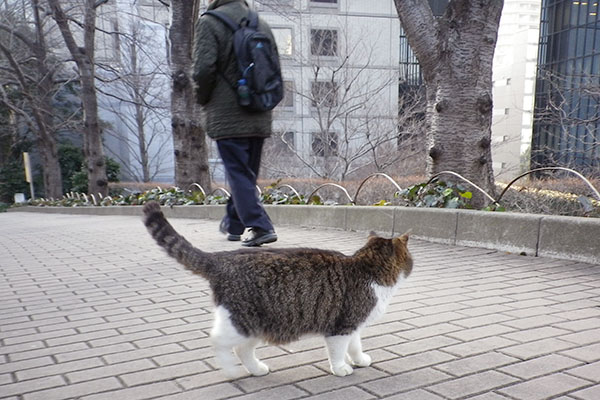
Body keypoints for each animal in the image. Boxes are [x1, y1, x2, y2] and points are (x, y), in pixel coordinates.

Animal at [144, 202, 412, 376]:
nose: (412, 264)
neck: (367, 269)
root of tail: (221, 258)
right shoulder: (341, 327)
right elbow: (337, 352)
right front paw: (341, 369)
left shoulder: (352, 324)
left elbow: (355, 346)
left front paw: (359, 360)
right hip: (242, 321)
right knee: (219, 341)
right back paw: (231, 370)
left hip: (258, 324)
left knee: (242, 349)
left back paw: (257, 369)